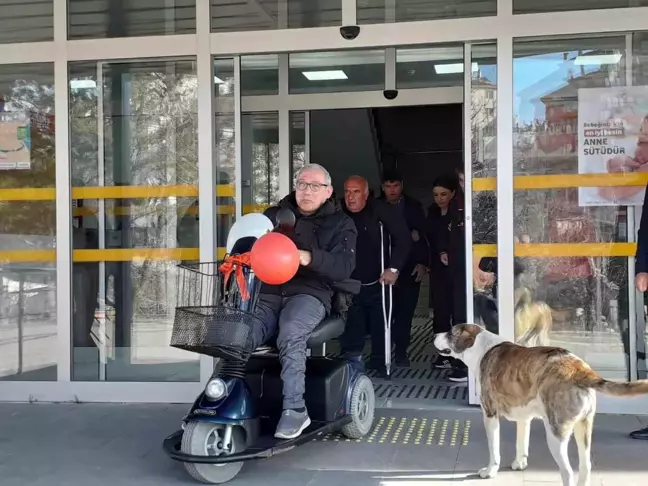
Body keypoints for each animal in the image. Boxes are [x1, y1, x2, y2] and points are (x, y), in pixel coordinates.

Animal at [432, 322, 648, 486]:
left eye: (450, 333)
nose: (435, 334)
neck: (482, 346)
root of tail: (579, 368)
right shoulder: (524, 417)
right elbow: (521, 442)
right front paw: (519, 463)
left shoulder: (490, 414)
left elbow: (494, 449)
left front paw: (490, 471)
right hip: (584, 428)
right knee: (585, 467)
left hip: (556, 434)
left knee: (568, 472)